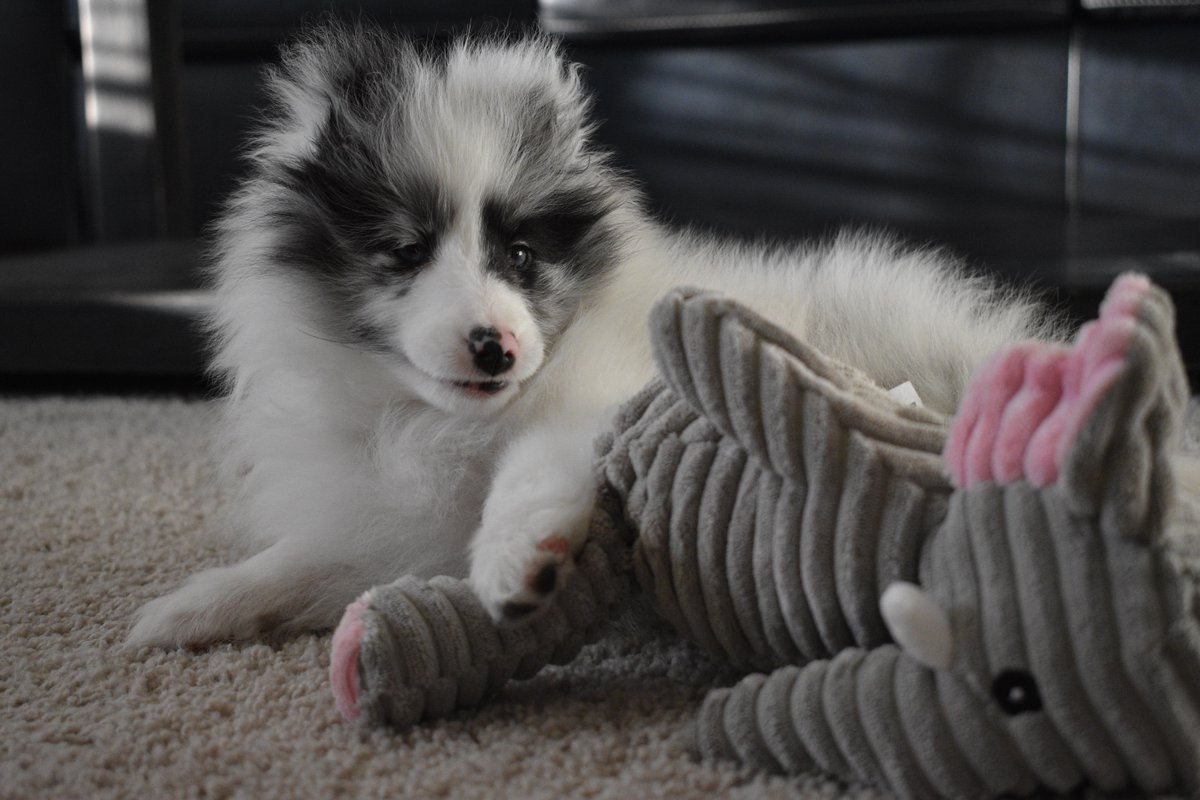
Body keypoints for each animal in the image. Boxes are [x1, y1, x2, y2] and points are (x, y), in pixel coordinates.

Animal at [126, 26, 1056, 652]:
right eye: (406, 251)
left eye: (520, 255)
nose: (496, 346)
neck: (439, 421)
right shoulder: (388, 523)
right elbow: (300, 561)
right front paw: (186, 610)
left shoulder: (614, 398)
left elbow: (534, 464)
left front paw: (514, 561)